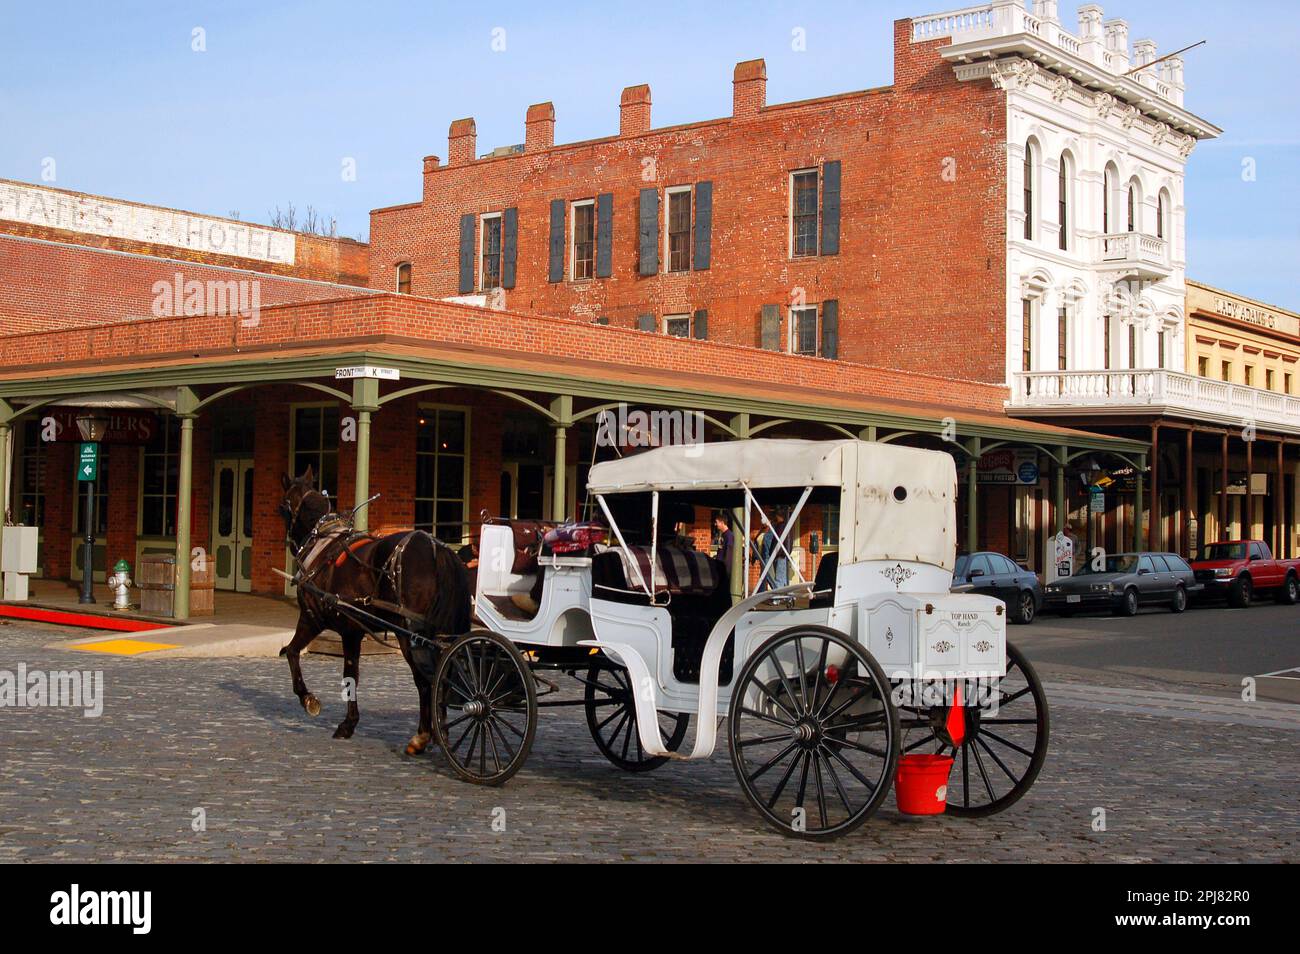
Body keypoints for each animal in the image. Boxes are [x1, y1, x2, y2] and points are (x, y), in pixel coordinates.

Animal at [276, 467, 470, 759]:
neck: (323, 542)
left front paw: (311, 700)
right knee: (442, 677)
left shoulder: (314, 618)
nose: (290, 544)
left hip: (410, 636)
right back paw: (440, 734)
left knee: (425, 681)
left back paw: (423, 736)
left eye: (284, 507)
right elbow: (351, 674)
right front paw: (349, 722)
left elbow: (294, 653)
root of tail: (437, 549)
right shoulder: (354, 631)